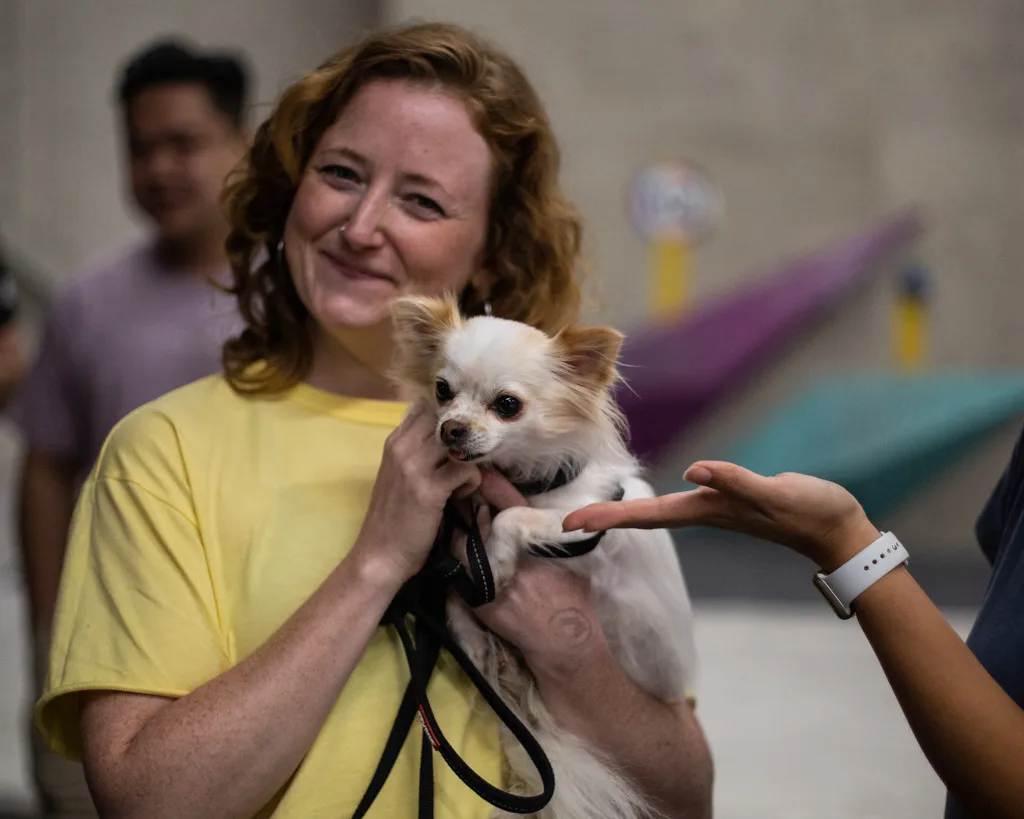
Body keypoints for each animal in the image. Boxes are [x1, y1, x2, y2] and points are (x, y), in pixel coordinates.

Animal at [390, 294, 698, 819]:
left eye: (507, 406)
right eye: (442, 390)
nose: (451, 429)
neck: (522, 477)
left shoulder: (583, 522)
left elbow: (512, 520)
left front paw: (495, 561)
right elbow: (458, 595)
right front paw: (469, 620)